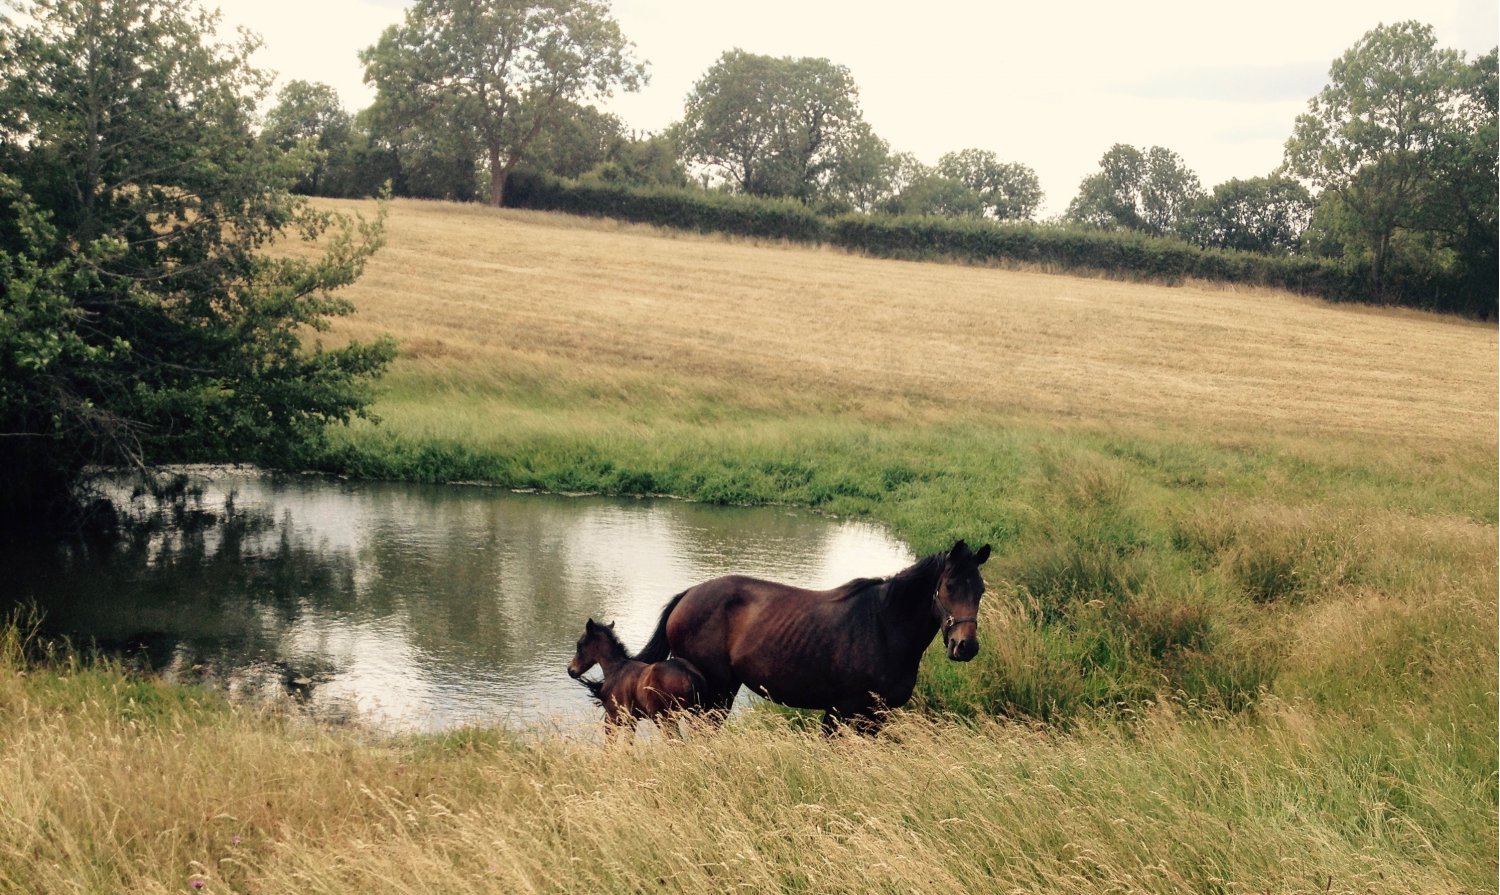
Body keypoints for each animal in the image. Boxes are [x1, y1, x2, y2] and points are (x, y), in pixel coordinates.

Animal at [567, 618, 708, 739]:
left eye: (579, 645)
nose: (570, 670)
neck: (616, 669)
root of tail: (689, 673)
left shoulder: (613, 717)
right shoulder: (632, 720)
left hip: (665, 718)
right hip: (694, 714)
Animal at [634, 539, 991, 734]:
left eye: (981, 589)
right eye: (949, 586)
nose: (965, 646)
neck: (883, 627)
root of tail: (686, 595)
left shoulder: (875, 717)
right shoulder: (840, 712)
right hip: (714, 694)